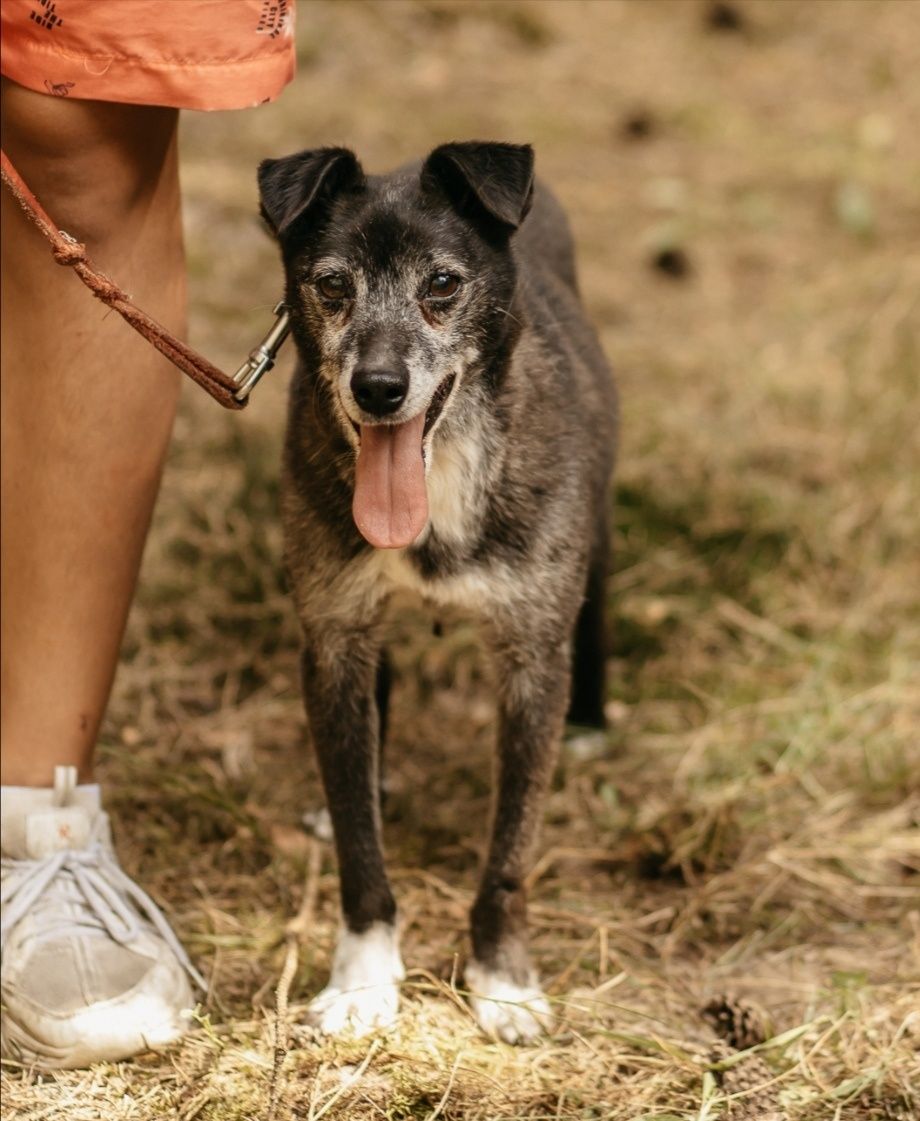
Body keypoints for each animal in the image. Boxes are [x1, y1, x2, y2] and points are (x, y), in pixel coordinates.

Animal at [258, 140, 618, 1040]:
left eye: (444, 284)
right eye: (332, 284)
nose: (379, 388)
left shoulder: (532, 660)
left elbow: (511, 848)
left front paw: (503, 980)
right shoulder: (334, 638)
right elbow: (359, 843)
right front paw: (363, 976)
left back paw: (594, 723)